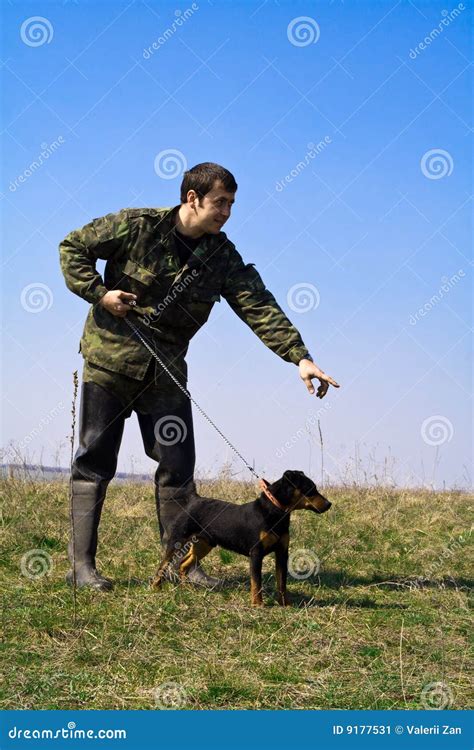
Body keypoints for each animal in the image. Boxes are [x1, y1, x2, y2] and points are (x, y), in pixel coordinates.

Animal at [151, 472, 330, 608]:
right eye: (311, 489)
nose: (329, 504)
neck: (276, 511)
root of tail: (194, 500)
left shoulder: (282, 552)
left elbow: (282, 581)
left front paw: (285, 604)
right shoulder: (256, 553)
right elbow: (256, 581)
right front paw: (258, 604)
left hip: (204, 544)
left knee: (184, 564)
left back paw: (186, 588)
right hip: (177, 541)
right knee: (163, 565)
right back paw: (156, 587)